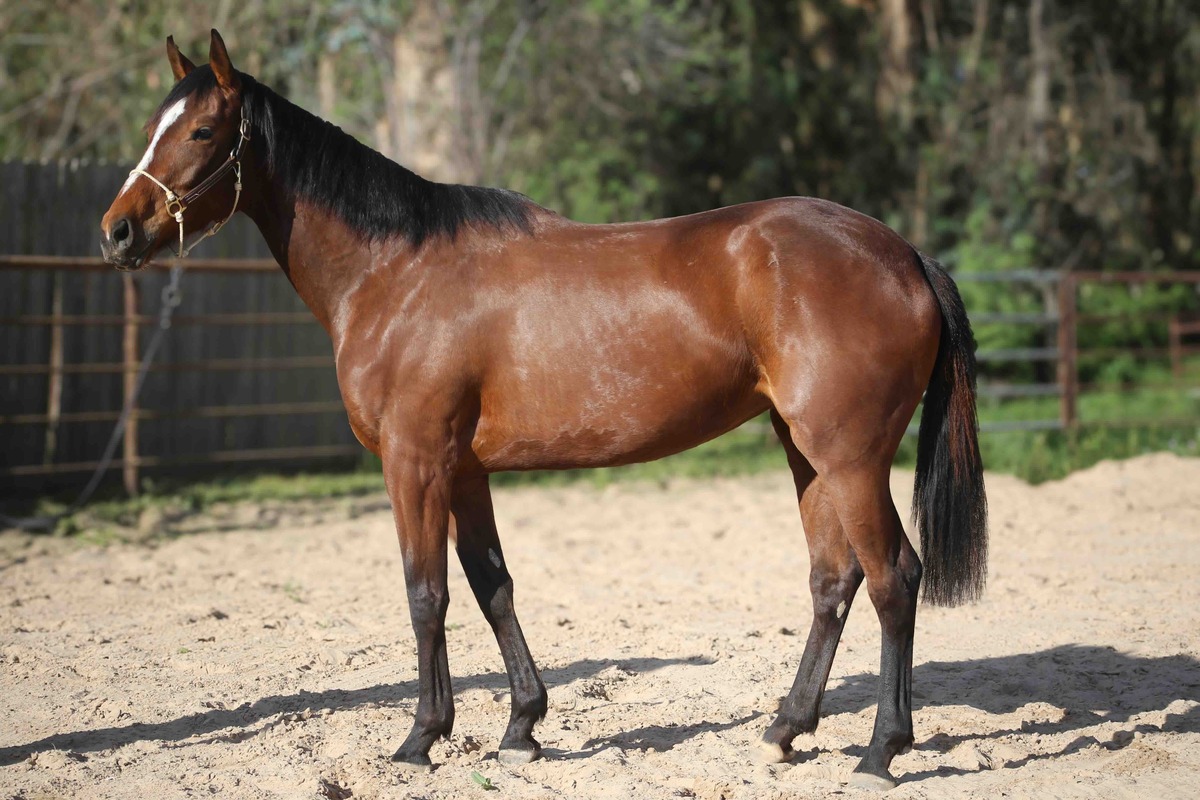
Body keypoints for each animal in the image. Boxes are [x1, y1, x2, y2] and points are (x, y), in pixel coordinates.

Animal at [100, 30, 987, 790]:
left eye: (204, 130)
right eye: (151, 126)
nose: (117, 233)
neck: (396, 273)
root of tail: (902, 253)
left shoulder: (414, 461)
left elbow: (425, 593)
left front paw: (421, 737)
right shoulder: (462, 470)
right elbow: (491, 585)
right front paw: (522, 726)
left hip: (851, 457)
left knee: (893, 578)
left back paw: (880, 751)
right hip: (808, 453)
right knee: (833, 579)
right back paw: (786, 729)